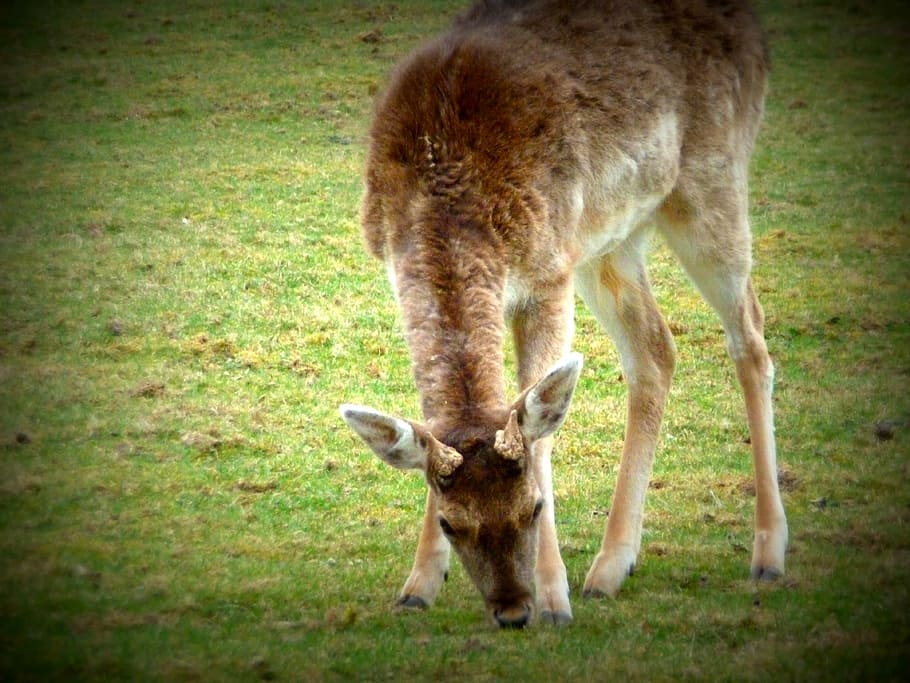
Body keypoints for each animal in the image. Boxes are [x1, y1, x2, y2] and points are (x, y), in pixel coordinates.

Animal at [339, 0, 787, 628]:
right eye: (452, 523)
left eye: (534, 507)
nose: (512, 611)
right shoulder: (397, 275)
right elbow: (437, 422)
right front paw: (417, 587)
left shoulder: (548, 276)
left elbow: (538, 426)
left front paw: (555, 600)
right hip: (607, 240)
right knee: (656, 349)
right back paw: (609, 569)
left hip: (712, 180)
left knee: (751, 335)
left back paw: (768, 556)